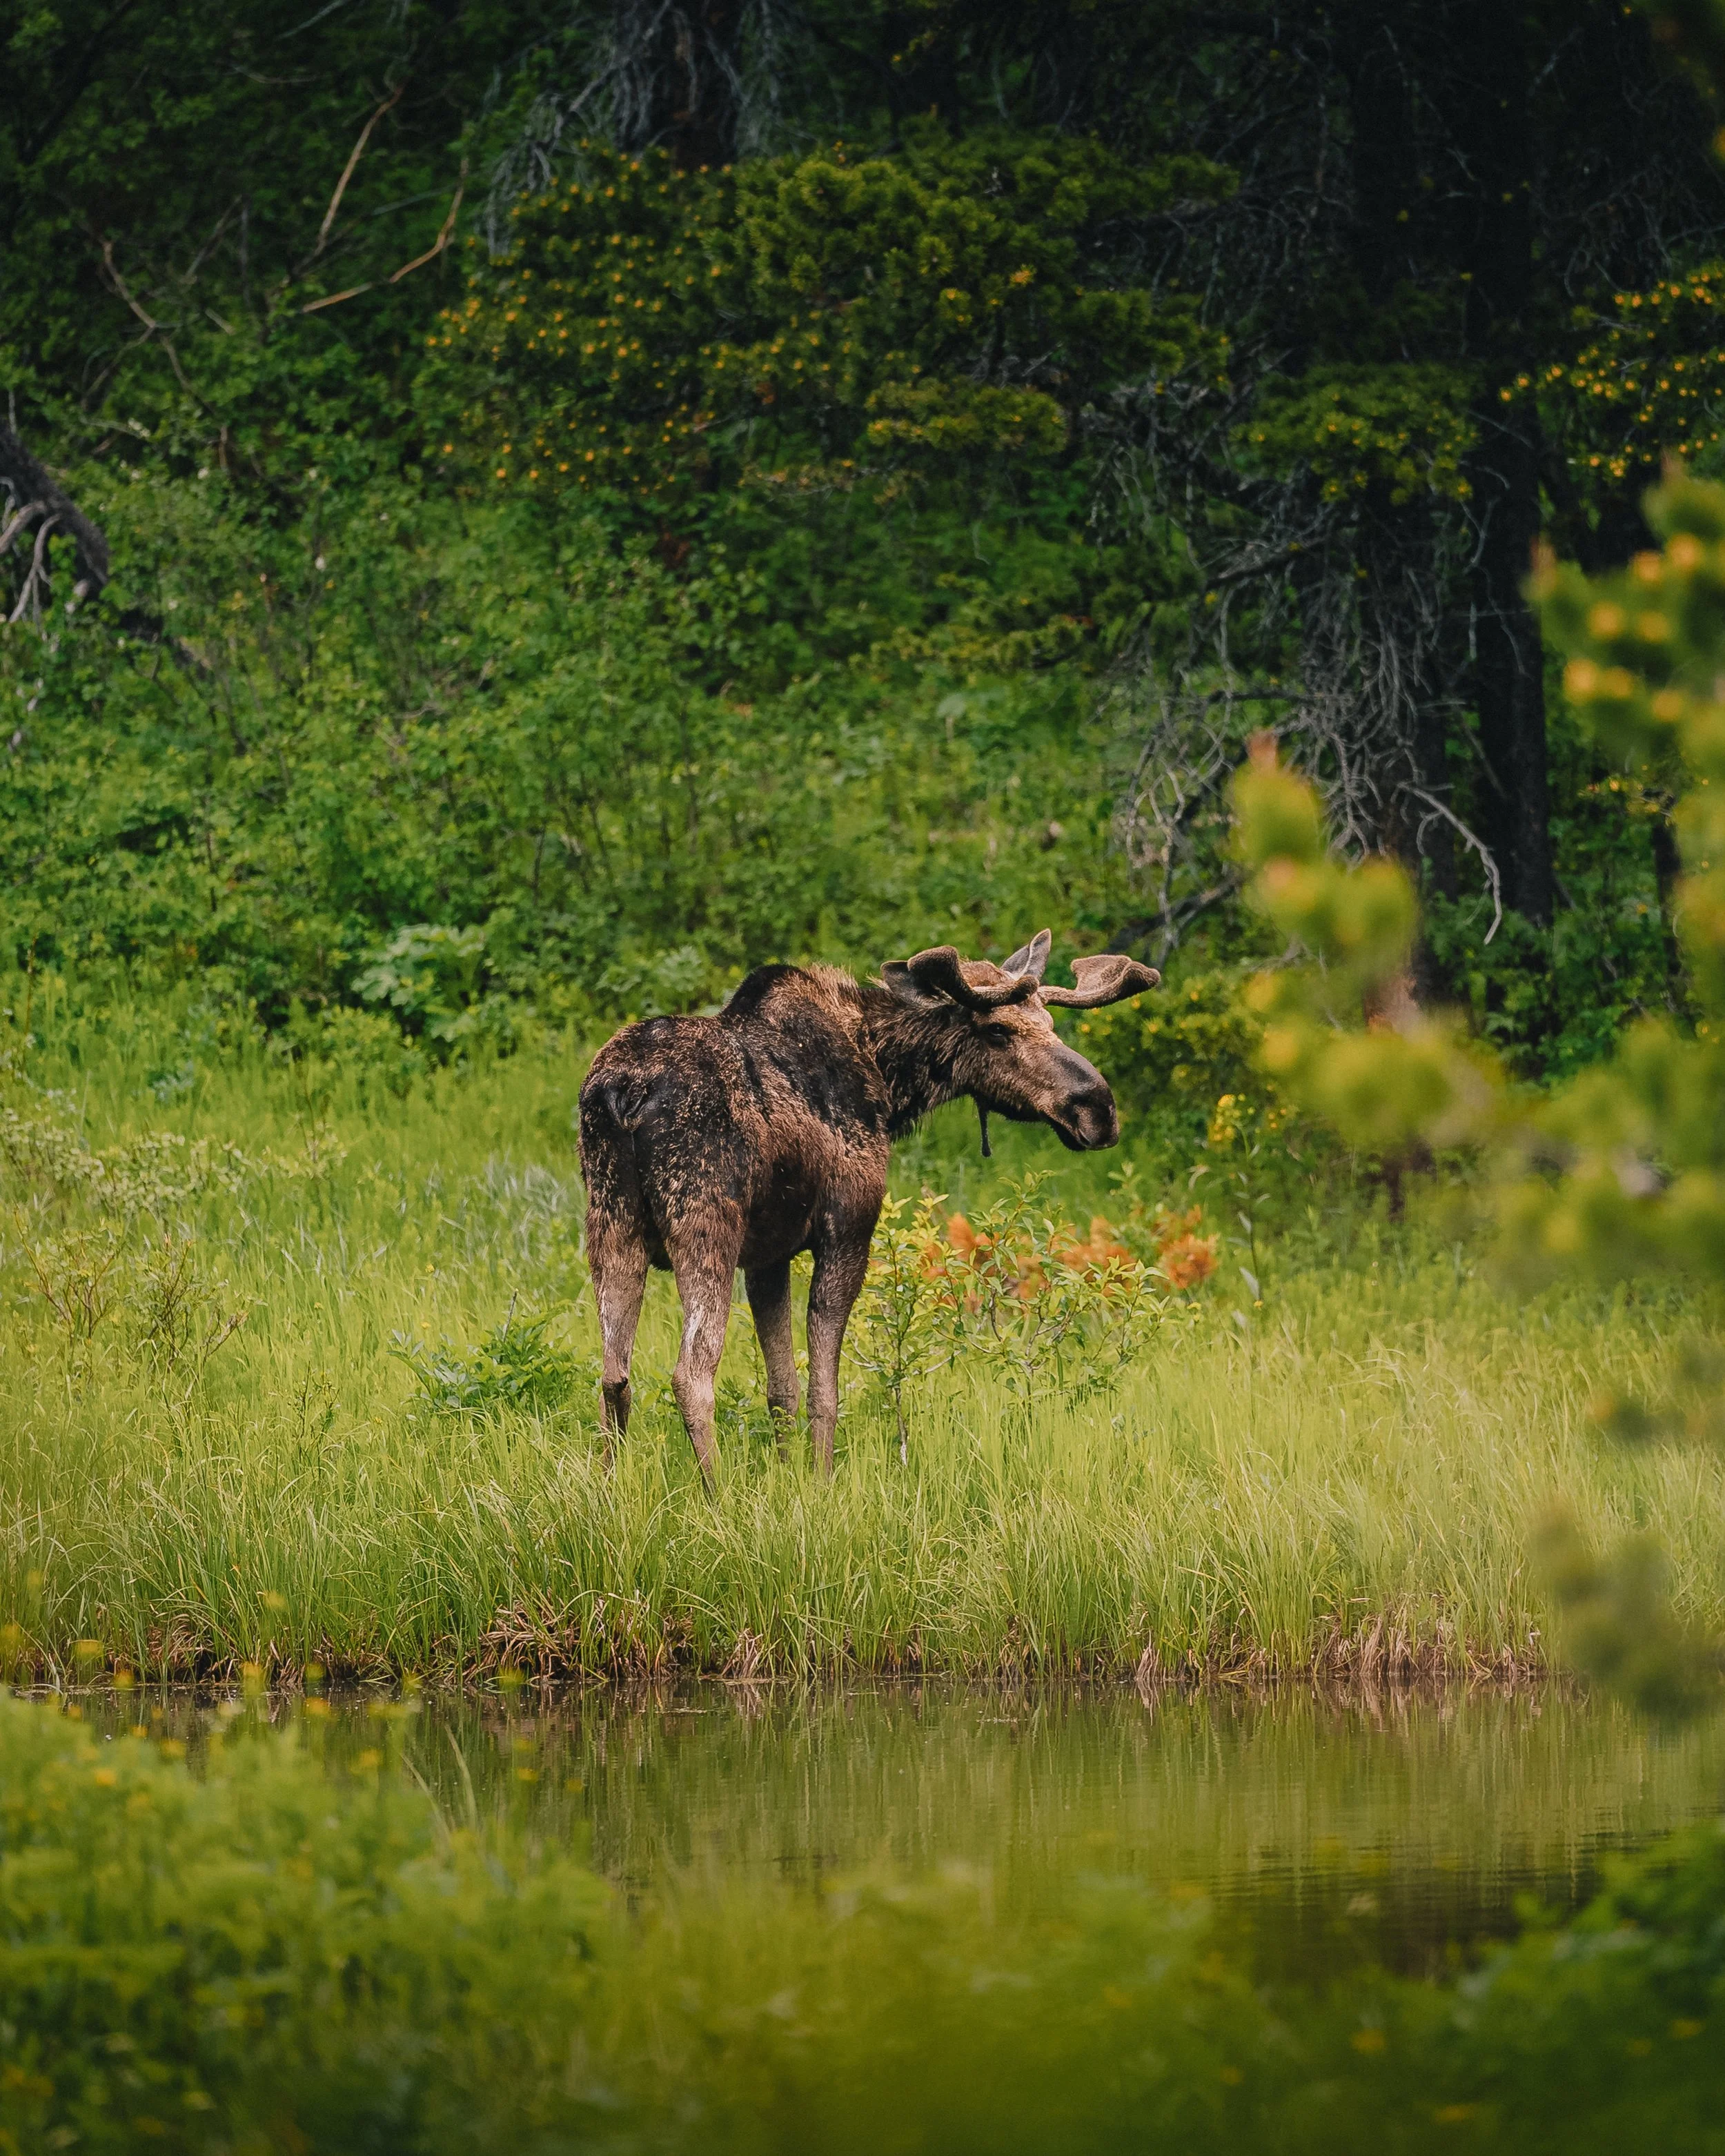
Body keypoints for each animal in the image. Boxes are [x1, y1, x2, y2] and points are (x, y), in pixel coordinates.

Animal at [576, 930, 1160, 1486]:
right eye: (997, 1031)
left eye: (1050, 1022)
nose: (1098, 1108)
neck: (889, 1083)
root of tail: (621, 1094)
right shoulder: (848, 1227)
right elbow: (824, 1392)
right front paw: (821, 1482)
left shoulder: (767, 1256)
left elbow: (782, 1389)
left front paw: (786, 1477)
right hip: (703, 1221)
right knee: (690, 1375)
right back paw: (716, 1497)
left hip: (611, 1222)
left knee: (614, 1374)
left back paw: (609, 1490)